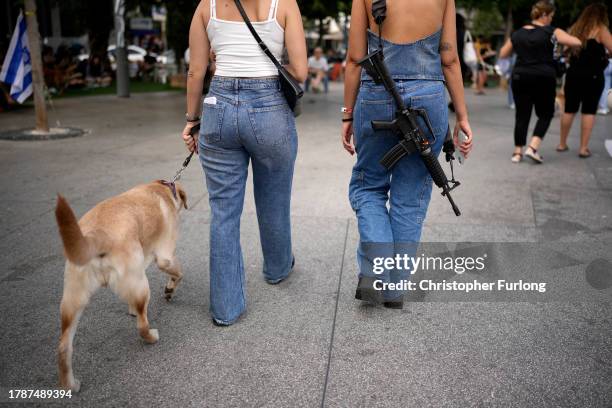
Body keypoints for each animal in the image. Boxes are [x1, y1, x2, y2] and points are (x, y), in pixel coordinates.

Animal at [53, 180, 188, 390]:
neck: (163, 188)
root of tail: (96, 235)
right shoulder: (164, 257)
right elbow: (178, 273)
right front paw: (170, 288)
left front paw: (132, 309)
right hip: (142, 286)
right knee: (142, 326)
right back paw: (152, 336)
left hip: (72, 301)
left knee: (63, 347)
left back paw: (70, 385)